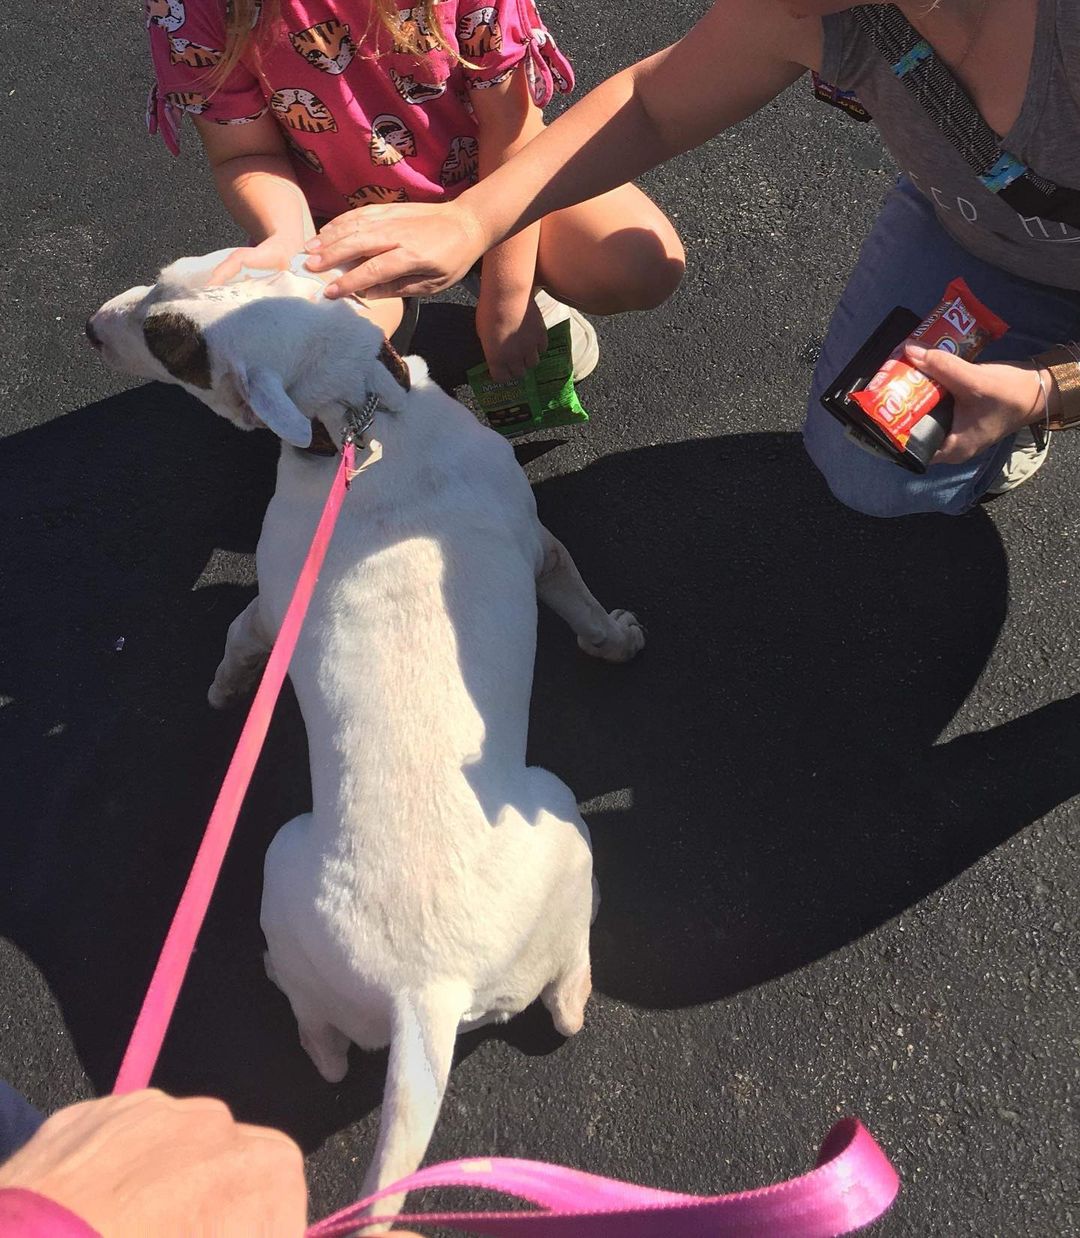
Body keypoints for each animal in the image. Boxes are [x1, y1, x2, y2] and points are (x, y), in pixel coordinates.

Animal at [88, 256, 644, 1223]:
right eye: (166, 283)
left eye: (170, 343)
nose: (88, 329)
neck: (363, 416)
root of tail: (426, 991)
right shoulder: (529, 546)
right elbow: (572, 585)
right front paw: (612, 636)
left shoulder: (276, 599)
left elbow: (238, 630)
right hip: (533, 817)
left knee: (339, 1036)